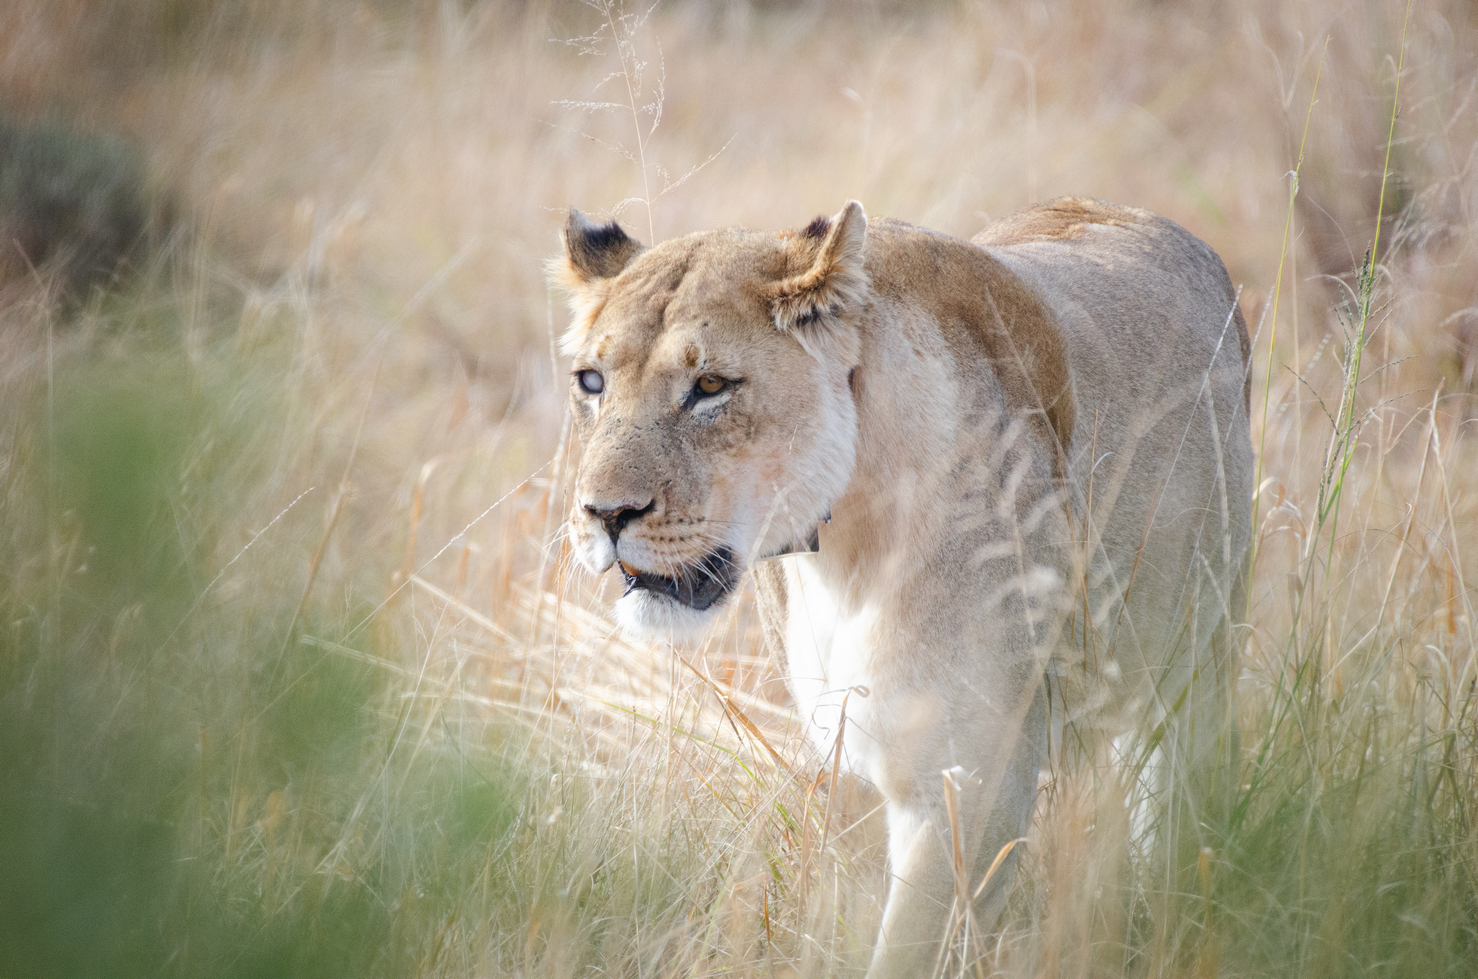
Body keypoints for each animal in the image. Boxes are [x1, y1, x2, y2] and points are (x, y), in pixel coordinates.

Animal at [555, 197, 1252, 978]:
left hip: (1197, 665)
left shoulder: (972, 782)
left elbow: (907, 950)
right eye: (592, 383)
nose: (604, 514)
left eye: (710, 388)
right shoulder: (845, 758)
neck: (842, 556)